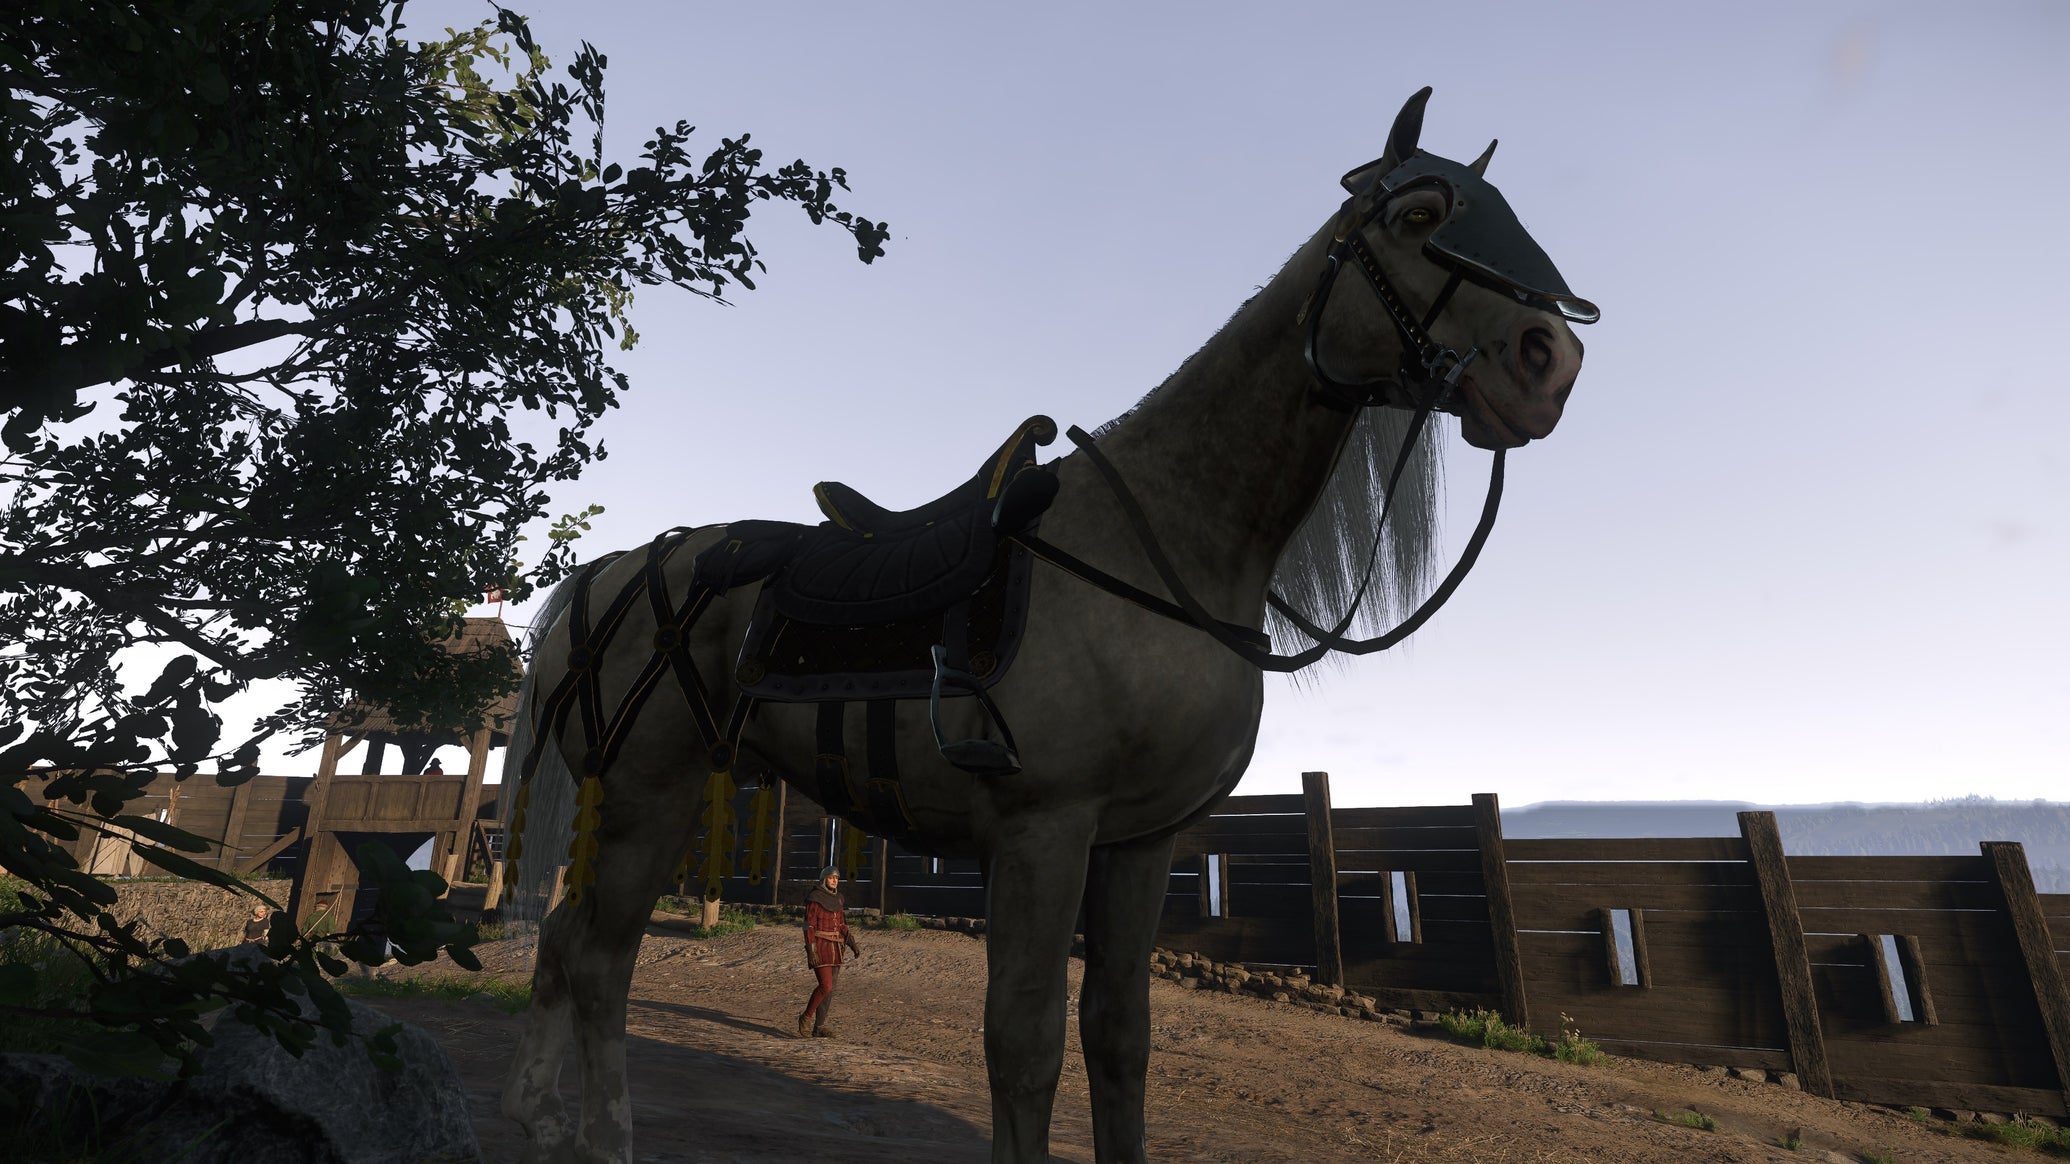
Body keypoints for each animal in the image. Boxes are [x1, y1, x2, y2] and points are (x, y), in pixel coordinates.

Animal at [497, 87, 1595, 1163]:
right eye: (1418, 217)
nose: (1554, 360)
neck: (1163, 541)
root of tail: (609, 574)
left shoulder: (1140, 844)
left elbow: (1120, 1039)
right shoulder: (1044, 833)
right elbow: (1023, 1046)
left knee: (562, 947)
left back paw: (542, 1115)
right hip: (646, 795)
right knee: (599, 958)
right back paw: (600, 1137)